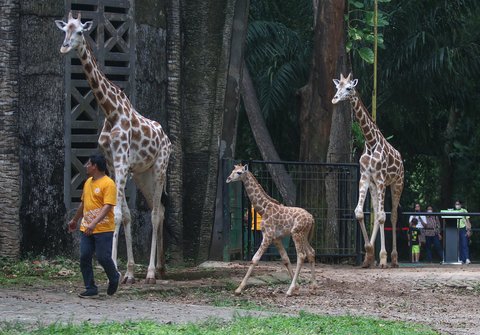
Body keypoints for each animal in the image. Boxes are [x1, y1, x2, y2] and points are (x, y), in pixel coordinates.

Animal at [55, 11, 172, 284]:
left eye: (80, 32)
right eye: (64, 30)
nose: (64, 47)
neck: (111, 111)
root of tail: (168, 139)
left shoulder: (120, 162)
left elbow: (116, 214)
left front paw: (114, 270)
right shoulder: (113, 162)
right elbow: (125, 214)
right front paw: (127, 271)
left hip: (160, 167)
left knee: (154, 213)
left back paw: (151, 272)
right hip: (143, 175)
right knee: (160, 209)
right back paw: (161, 267)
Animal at [225, 165, 316, 296]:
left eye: (239, 172)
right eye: (232, 171)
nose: (228, 179)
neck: (263, 210)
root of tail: (312, 218)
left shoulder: (267, 236)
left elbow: (255, 259)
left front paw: (239, 289)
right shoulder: (276, 238)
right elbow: (285, 259)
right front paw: (298, 288)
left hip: (296, 233)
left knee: (301, 255)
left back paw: (289, 290)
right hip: (304, 234)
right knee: (311, 252)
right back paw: (313, 287)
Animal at [332, 74, 404, 270]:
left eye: (349, 88)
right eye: (337, 87)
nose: (334, 99)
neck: (370, 142)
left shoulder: (381, 179)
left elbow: (383, 217)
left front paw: (384, 258)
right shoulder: (366, 177)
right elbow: (359, 212)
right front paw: (368, 254)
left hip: (396, 184)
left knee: (393, 216)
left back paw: (394, 259)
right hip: (375, 186)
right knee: (376, 212)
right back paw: (373, 256)